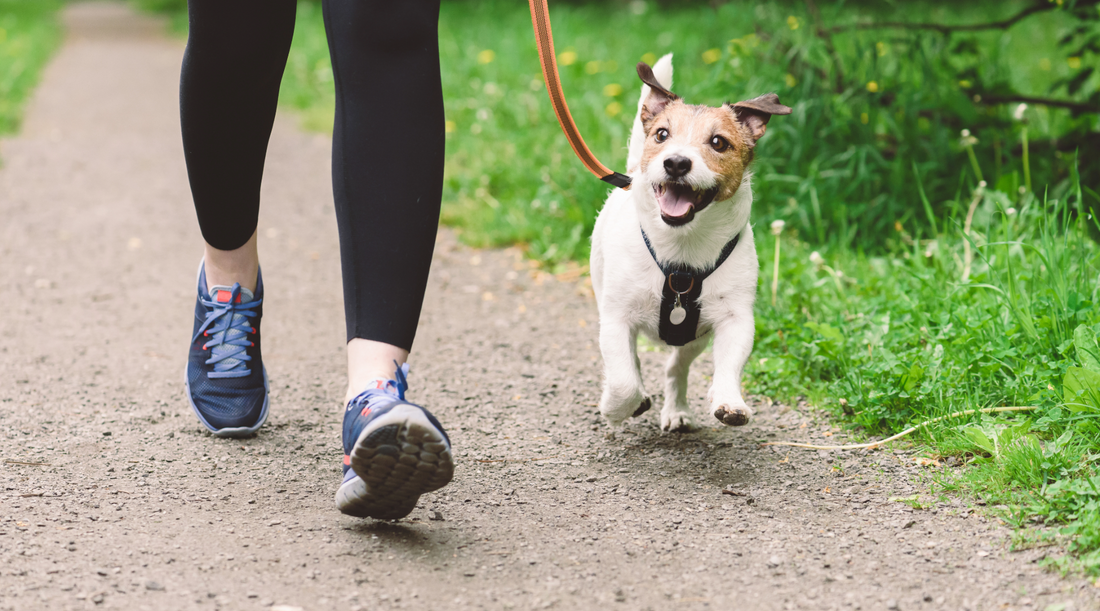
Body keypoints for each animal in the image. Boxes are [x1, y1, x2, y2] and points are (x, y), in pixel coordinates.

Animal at [594, 55, 792, 433]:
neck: (682, 251)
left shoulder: (735, 318)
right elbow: (624, 379)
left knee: (676, 367)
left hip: (693, 339)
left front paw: (729, 401)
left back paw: (677, 410)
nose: (676, 162)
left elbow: (729, 364)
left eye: (718, 142)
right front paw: (616, 407)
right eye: (662, 135)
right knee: (632, 364)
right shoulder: (615, 318)